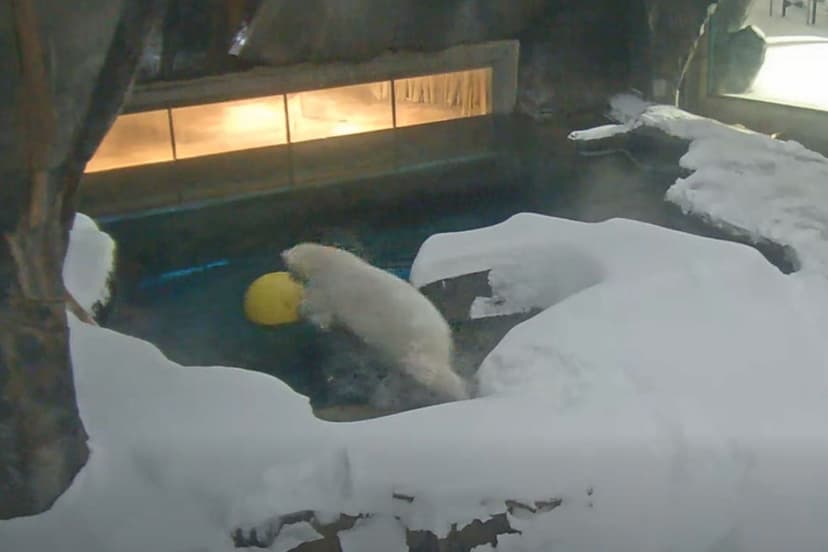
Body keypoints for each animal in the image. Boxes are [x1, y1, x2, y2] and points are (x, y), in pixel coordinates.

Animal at [281, 242, 469, 403]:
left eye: (290, 255)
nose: (283, 254)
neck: (329, 261)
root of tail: (443, 334)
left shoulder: (327, 288)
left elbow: (317, 308)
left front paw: (304, 312)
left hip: (416, 343)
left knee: (430, 372)